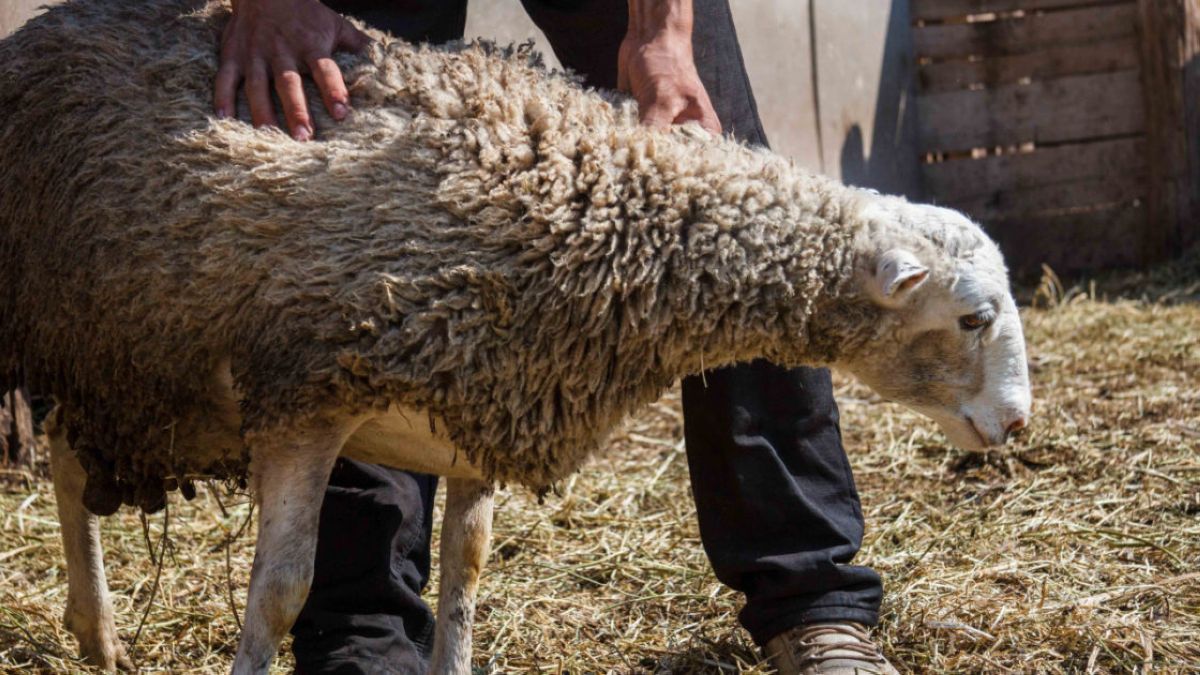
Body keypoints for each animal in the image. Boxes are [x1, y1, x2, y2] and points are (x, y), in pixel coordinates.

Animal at [0, 0, 1032, 667]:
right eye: (972, 317)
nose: (1019, 423)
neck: (597, 202)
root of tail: (39, 26)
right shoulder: (303, 394)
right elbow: (282, 588)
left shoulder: (482, 404)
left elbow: (465, 572)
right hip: (82, 328)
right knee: (66, 464)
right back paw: (97, 624)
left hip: (107, 343)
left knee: (69, 463)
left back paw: (95, 631)